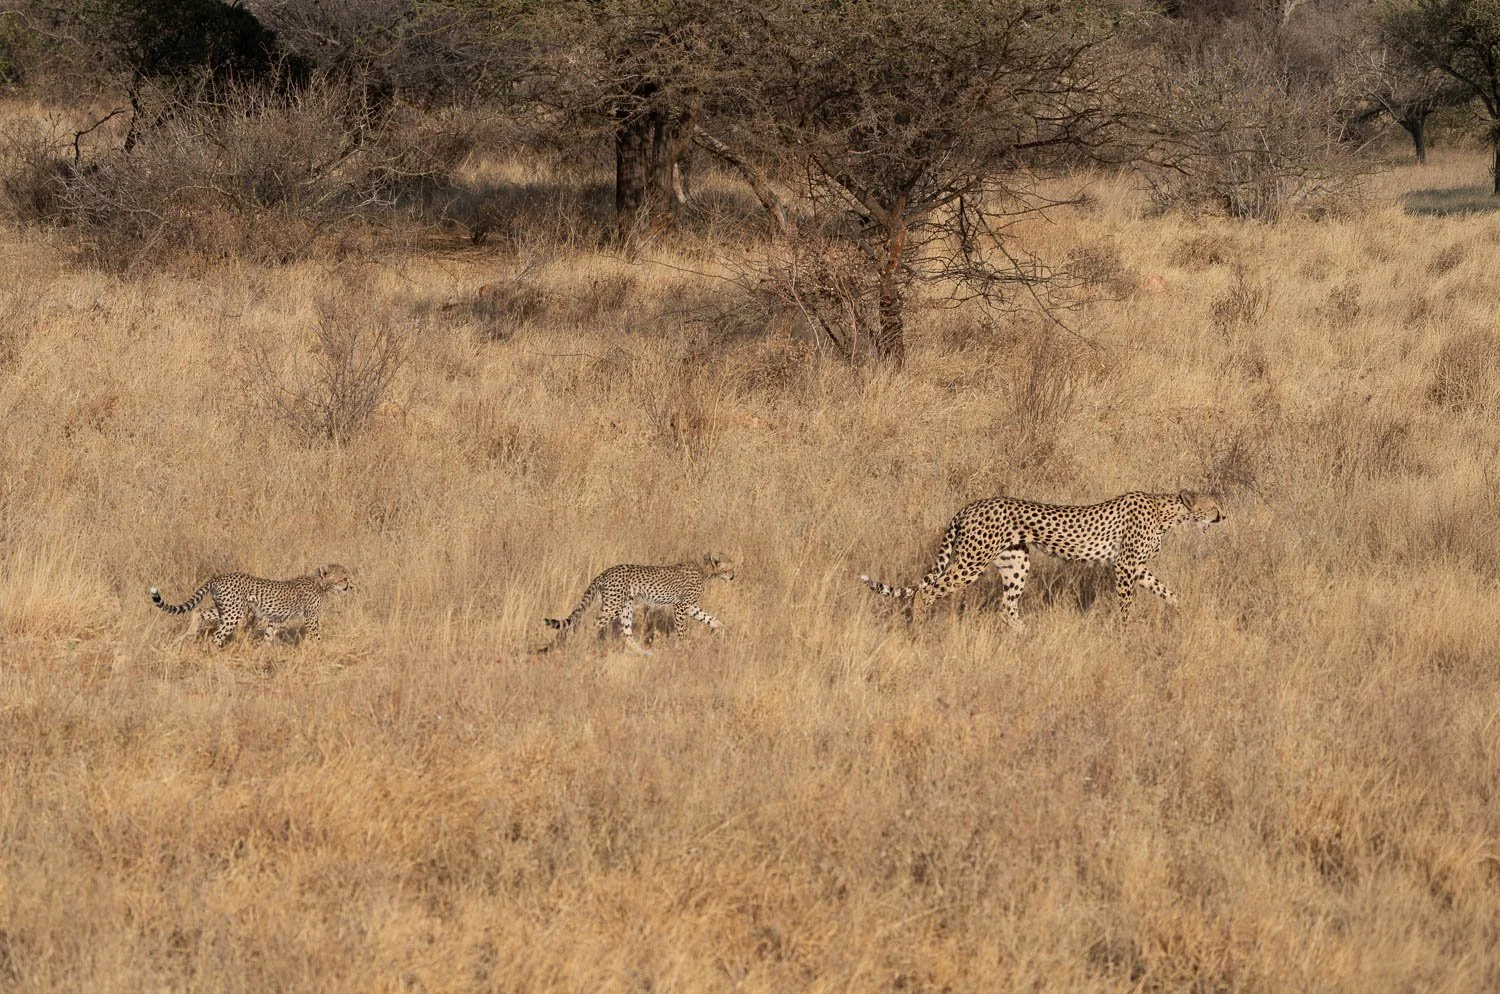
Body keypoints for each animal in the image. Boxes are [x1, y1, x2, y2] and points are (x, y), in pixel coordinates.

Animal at [150, 564, 354, 647]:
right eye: (344, 578)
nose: (350, 586)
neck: (320, 583)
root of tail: (218, 577)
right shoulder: (310, 617)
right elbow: (317, 635)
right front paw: (321, 649)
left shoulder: (276, 618)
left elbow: (268, 636)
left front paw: (263, 652)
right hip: (233, 613)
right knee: (216, 635)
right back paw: (216, 653)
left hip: (226, 609)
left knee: (199, 611)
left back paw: (190, 633)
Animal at [545, 554, 736, 655]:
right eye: (729, 569)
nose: (734, 576)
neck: (705, 571)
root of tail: (605, 572)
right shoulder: (681, 607)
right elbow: (682, 630)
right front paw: (682, 648)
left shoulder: (691, 607)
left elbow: (710, 619)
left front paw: (720, 629)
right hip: (613, 607)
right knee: (588, 626)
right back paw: (583, 646)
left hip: (625, 607)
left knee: (627, 634)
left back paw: (644, 654)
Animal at [861, 490, 1223, 628]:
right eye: (1214, 506)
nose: (1223, 516)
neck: (1168, 513)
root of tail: (970, 505)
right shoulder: (1125, 565)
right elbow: (1126, 604)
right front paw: (1125, 631)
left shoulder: (1138, 567)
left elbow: (1168, 591)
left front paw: (1182, 612)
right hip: (971, 561)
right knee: (926, 591)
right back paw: (919, 627)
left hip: (1016, 564)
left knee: (1006, 607)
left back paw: (1025, 636)